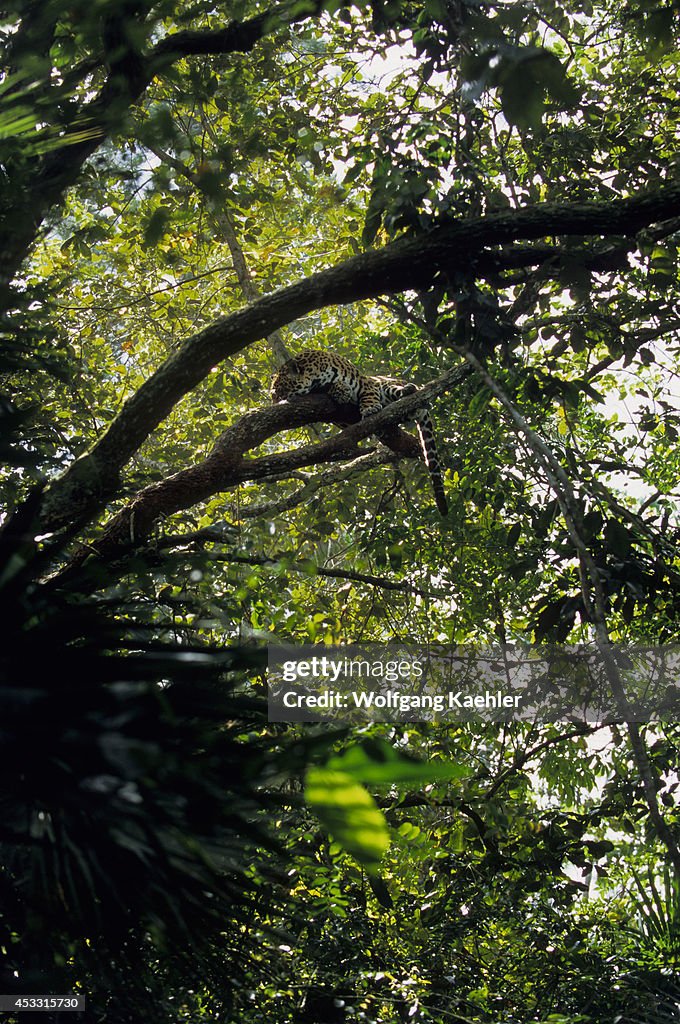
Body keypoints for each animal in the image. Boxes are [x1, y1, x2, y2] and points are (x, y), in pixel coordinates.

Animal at [271, 349, 448, 516]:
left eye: (279, 390)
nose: (274, 405)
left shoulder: (365, 382)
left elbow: (367, 394)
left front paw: (369, 408)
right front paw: (340, 391)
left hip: (386, 383)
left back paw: (409, 391)